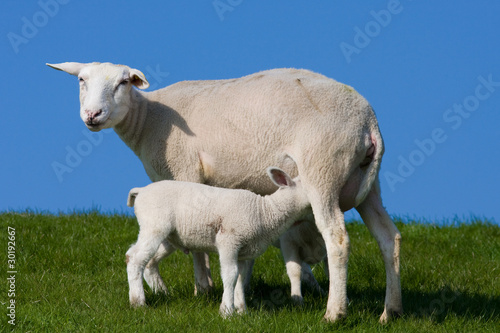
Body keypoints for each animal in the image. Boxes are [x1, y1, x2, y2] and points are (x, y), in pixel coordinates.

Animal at [126, 167, 308, 316]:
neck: (264, 211)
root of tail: (141, 191)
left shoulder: (244, 251)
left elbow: (240, 277)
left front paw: (242, 310)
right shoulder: (229, 240)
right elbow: (230, 274)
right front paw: (226, 311)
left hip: (169, 237)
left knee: (146, 260)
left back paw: (161, 292)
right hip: (154, 225)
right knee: (134, 258)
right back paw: (138, 302)